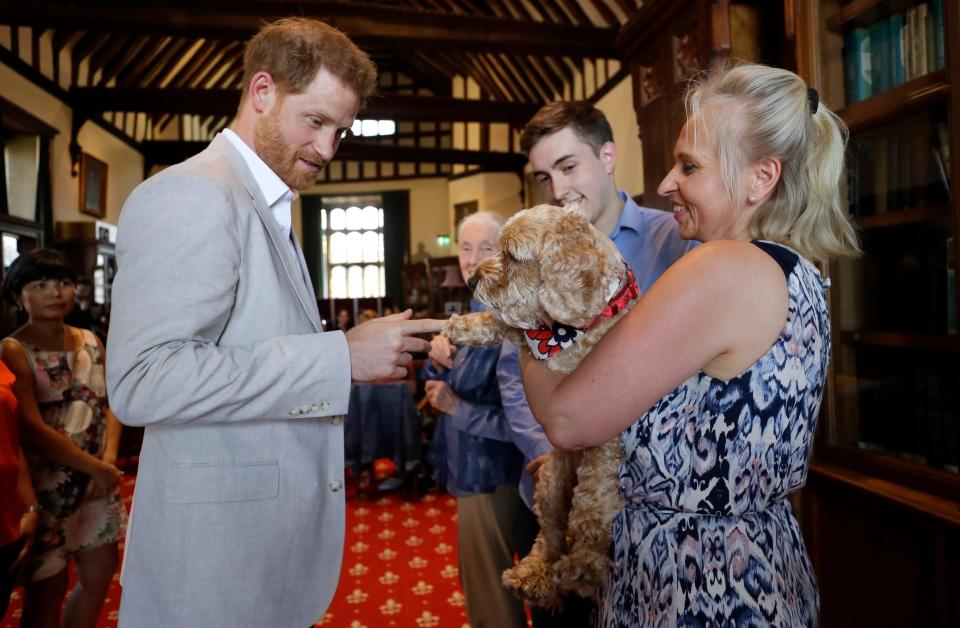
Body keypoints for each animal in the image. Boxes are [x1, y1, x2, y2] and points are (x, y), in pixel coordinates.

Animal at [444, 204, 640, 604]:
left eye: (513, 257)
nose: (472, 281)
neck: (566, 330)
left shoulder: (602, 430)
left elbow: (591, 504)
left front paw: (584, 560)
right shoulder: (525, 330)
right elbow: (496, 321)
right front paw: (459, 325)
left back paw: (579, 567)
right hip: (549, 484)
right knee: (548, 537)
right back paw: (532, 574)